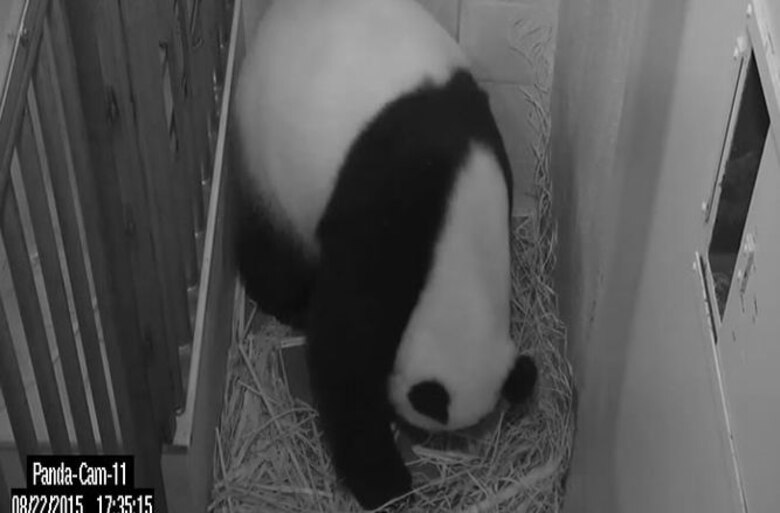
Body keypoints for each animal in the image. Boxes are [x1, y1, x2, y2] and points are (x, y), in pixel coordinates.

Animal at [232, 0, 538, 509]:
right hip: (265, 146)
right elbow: (344, 344)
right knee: (270, 240)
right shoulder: (386, 224)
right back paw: (287, 301)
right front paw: (384, 483)